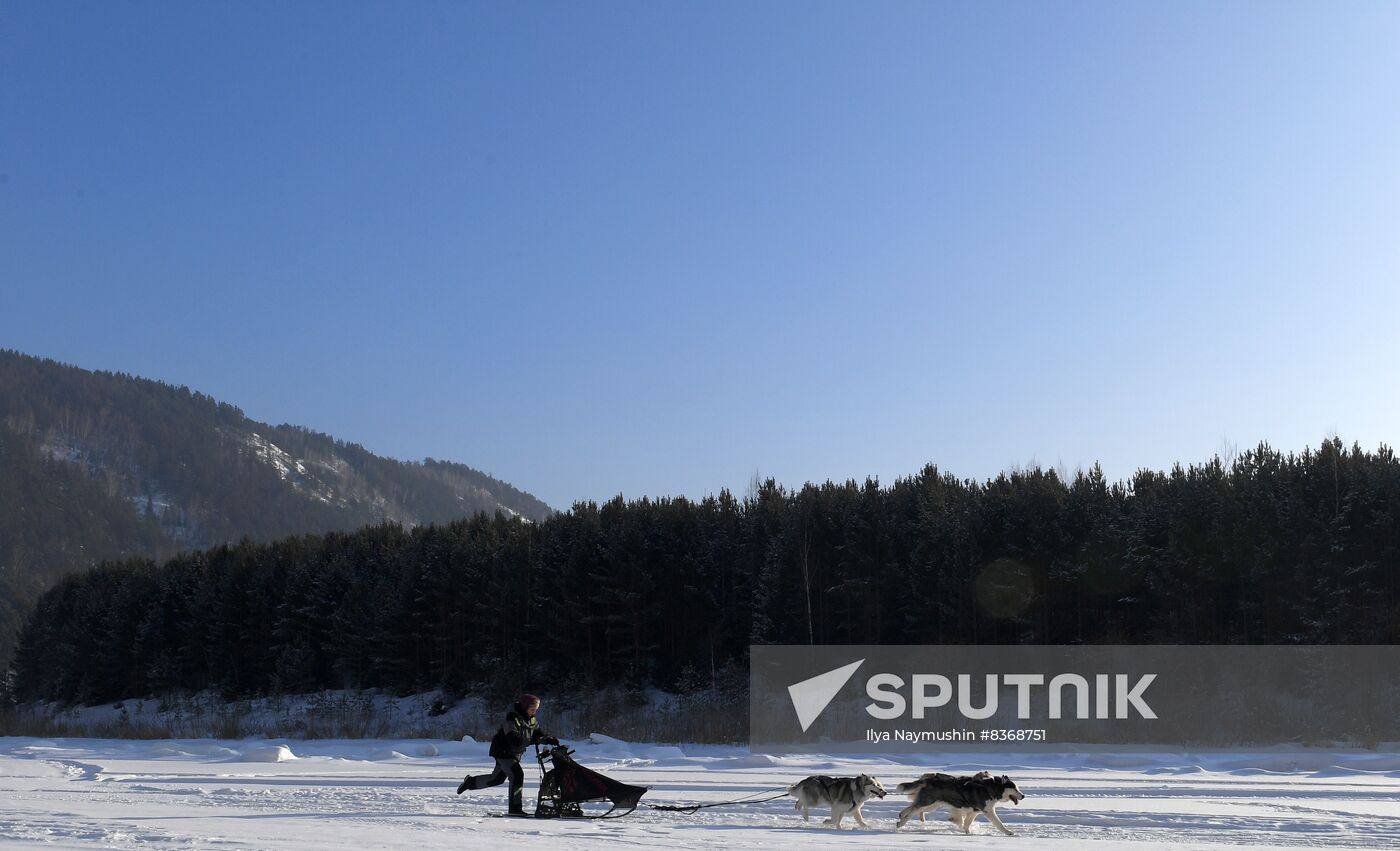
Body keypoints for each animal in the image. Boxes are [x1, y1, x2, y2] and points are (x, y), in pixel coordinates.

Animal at [896, 772, 1030, 828]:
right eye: (1015, 788)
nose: (1023, 796)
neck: (988, 788)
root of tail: (928, 779)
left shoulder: (974, 811)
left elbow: (966, 823)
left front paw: (967, 832)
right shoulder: (988, 811)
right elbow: (999, 823)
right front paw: (1008, 832)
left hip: (931, 805)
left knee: (912, 808)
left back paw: (901, 815)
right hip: (928, 802)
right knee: (913, 810)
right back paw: (901, 823)